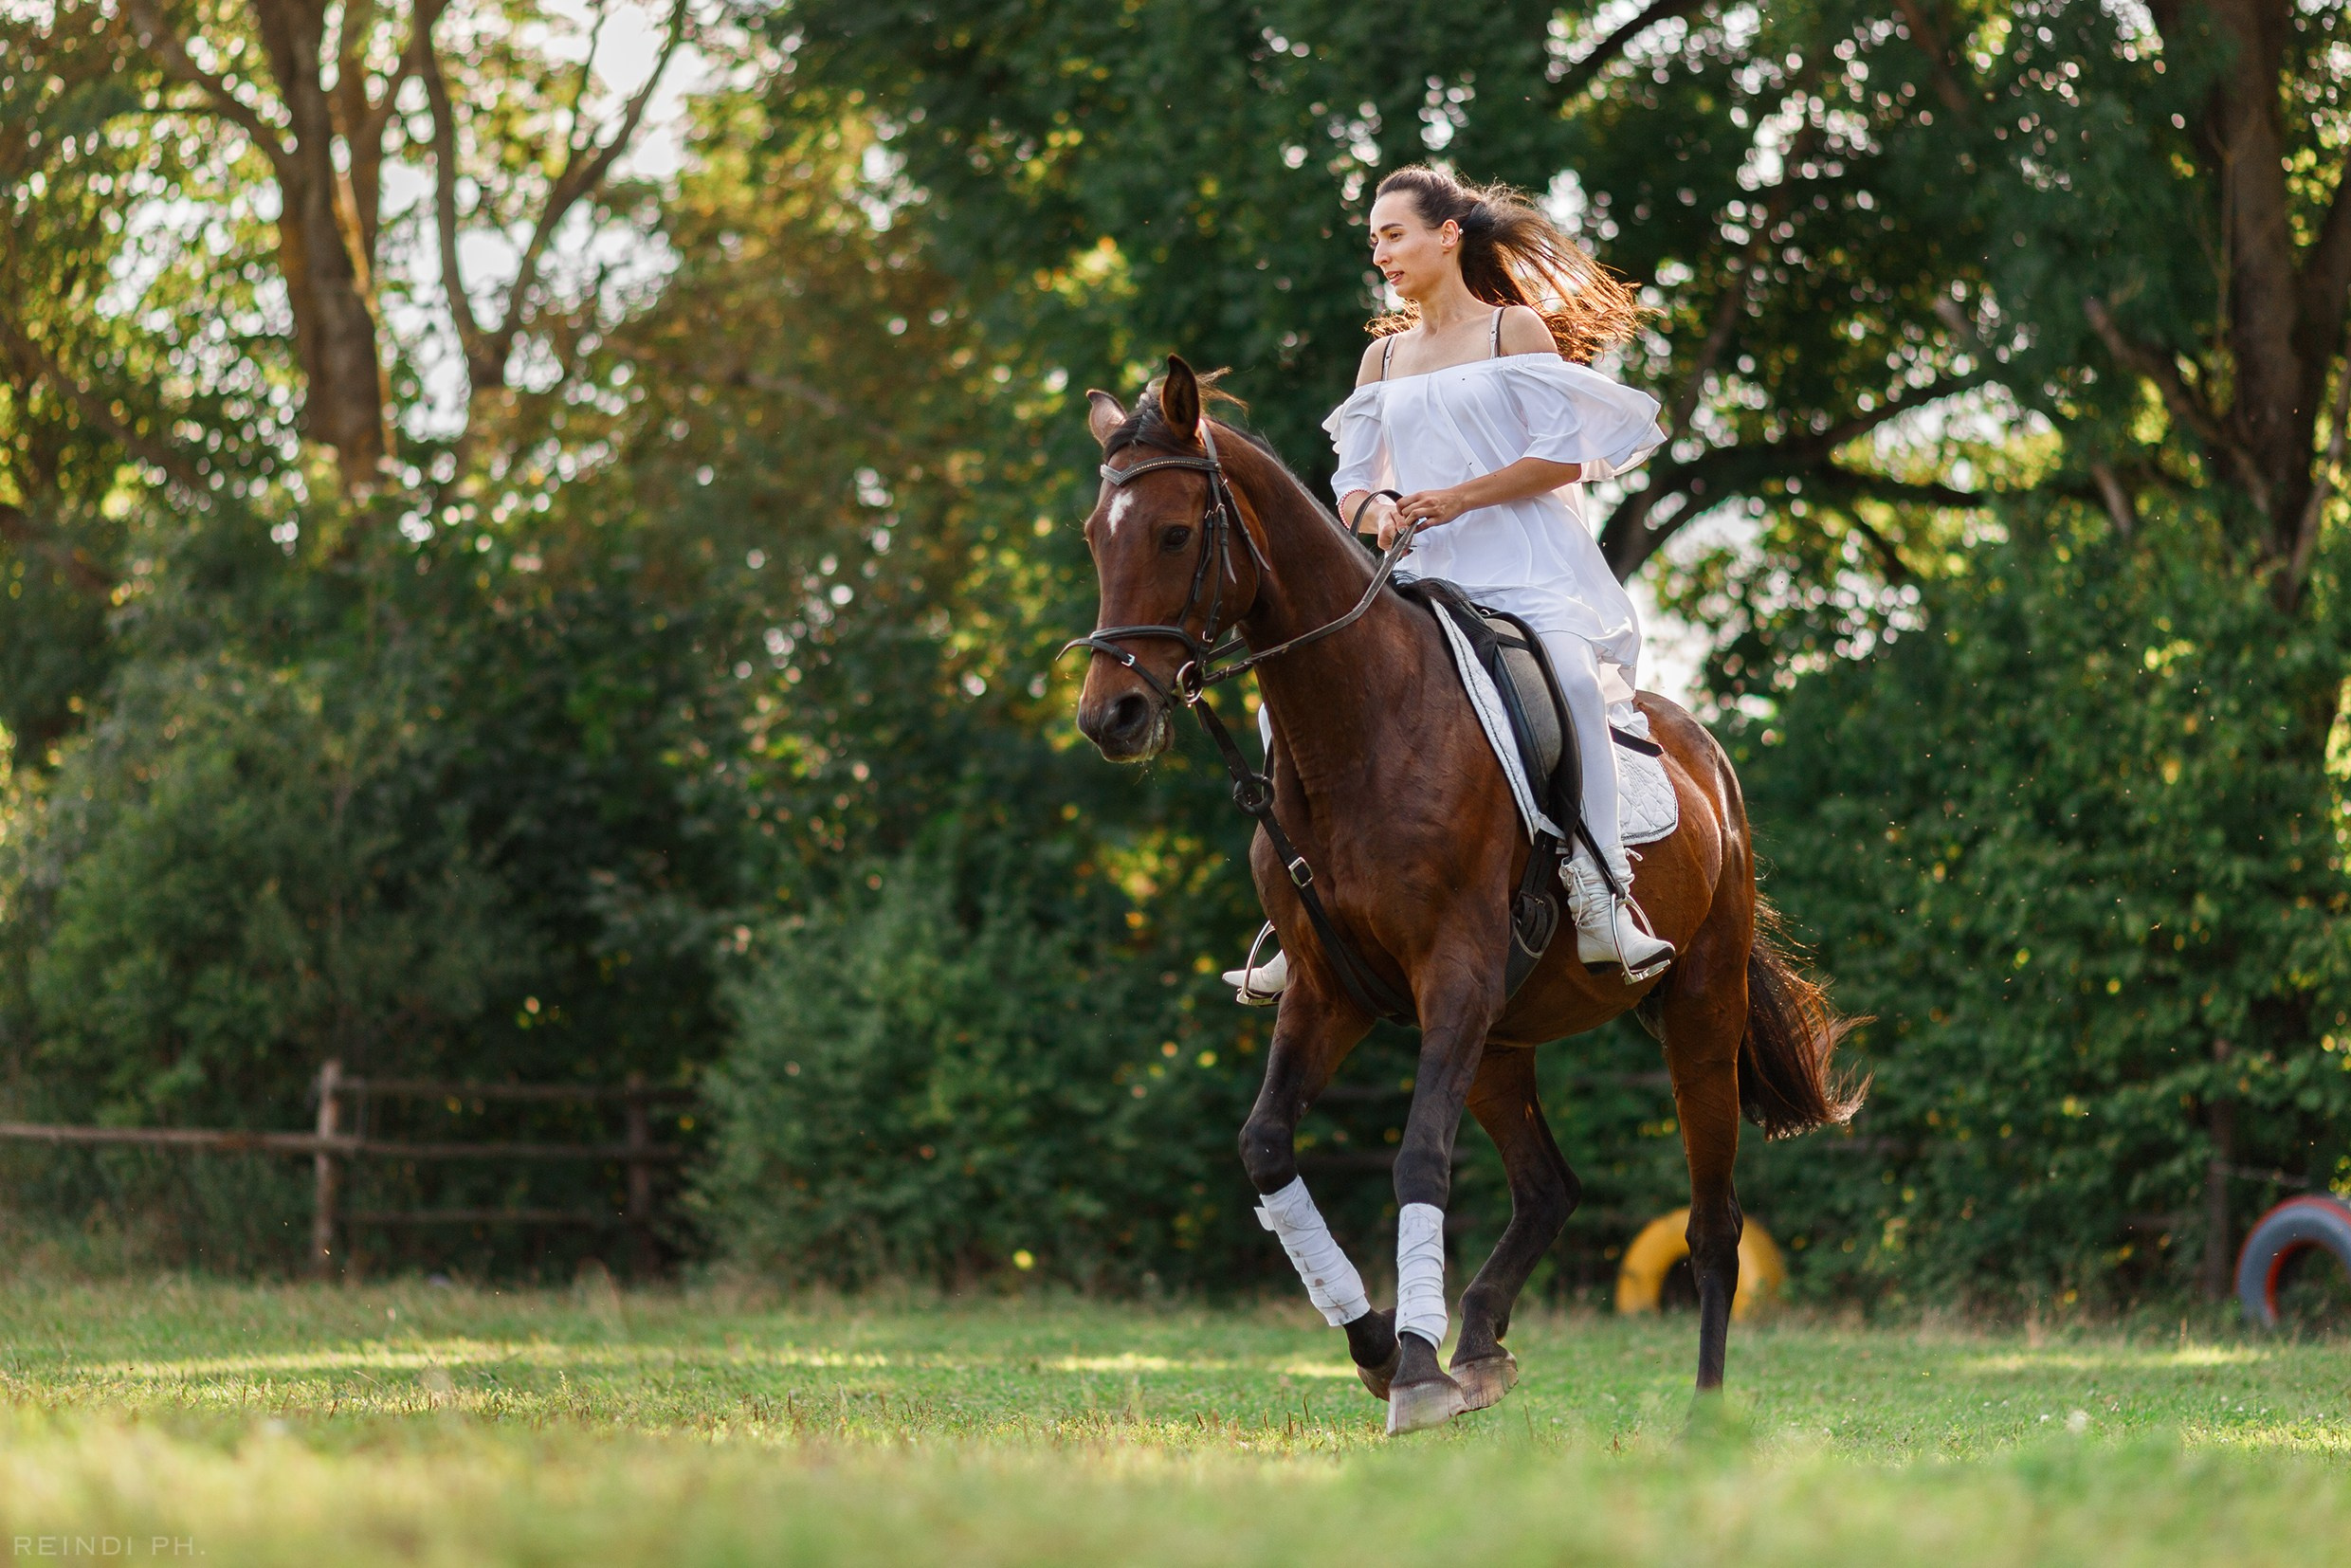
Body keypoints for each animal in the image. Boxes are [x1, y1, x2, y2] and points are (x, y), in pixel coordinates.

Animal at [1069, 356, 1862, 1434]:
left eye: (1174, 533)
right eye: (1093, 535)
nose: (1108, 716)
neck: (1357, 726)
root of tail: (1706, 755)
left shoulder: (1452, 976)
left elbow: (1416, 1160)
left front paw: (1412, 1366)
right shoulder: (1331, 989)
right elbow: (1266, 1146)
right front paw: (1375, 1344)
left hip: (1698, 1007)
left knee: (1712, 1222)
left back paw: (1697, 1405)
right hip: (1502, 1038)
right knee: (1548, 1187)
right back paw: (1481, 1343)